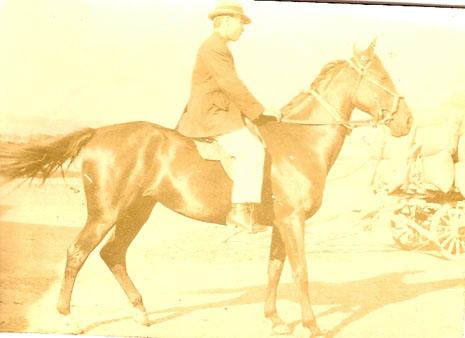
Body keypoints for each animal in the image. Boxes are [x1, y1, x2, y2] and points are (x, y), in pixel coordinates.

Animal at [0, 42, 414, 336]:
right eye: (382, 76)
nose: (407, 121)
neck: (298, 143)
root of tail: (99, 133)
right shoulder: (293, 221)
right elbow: (300, 271)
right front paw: (313, 325)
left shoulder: (281, 223)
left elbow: (274, 269)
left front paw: (275, 319)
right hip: (106, 213)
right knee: (76, 254)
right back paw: (69, 319)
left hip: (137, 211)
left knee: (112, 254)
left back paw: (140, 312)